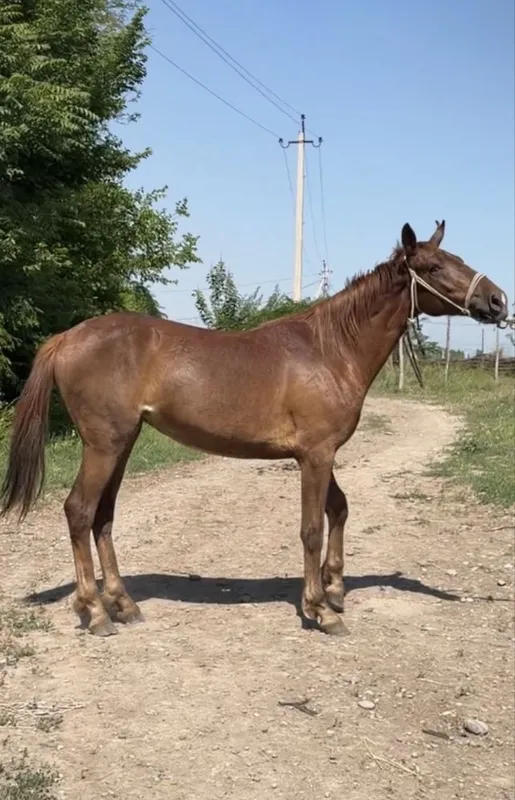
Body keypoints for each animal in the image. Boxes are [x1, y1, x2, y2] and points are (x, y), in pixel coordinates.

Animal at [0, 220, 508, 636]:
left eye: (459, 259)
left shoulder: (321, 453)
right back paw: (95, 612)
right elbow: (311, 527)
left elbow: (340, 509)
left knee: (103, 517)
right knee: (79, 511)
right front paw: (320, 610)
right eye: (435, 266)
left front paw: (335, 589)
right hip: (104, 444)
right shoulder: (315, 455)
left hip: (122, 444)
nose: (498, 300)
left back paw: (124, 605)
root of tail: (68, 337)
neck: (330, 349)